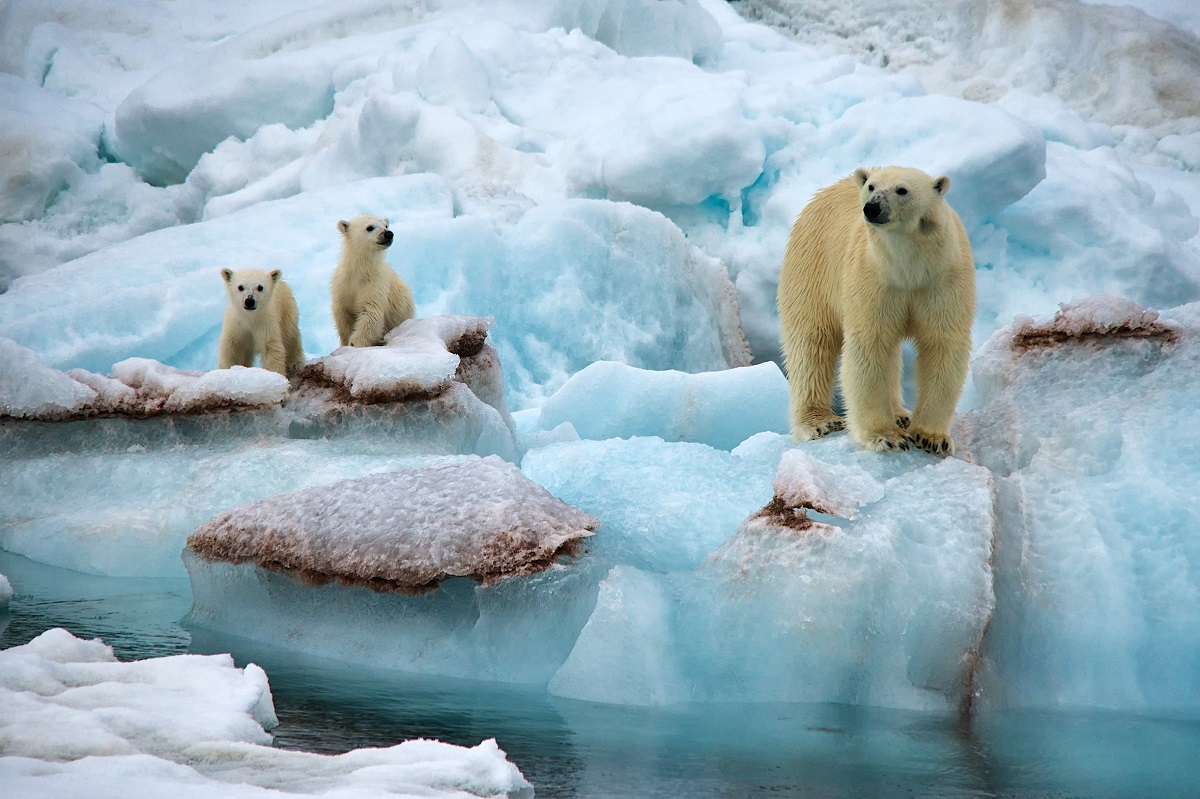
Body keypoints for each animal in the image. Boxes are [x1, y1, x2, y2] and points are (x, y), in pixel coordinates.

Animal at [331, 213, 415, 347]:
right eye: (369, 227)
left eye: (386, 225)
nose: (388, 234)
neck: (359, 271)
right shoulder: (342, 286)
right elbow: (343, 314)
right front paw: (346, 341)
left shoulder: (375, 284)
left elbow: (370, 313)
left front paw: (355, 342)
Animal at [777, 166, 974, 453]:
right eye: (871, 186)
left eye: (902, 190)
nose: (872, 208)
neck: (910, 267)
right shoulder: (872, 278)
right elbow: (870, 346)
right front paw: (885, 436)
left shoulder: (943, 280)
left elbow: (942, 344)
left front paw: (931, 438)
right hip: (812, 266)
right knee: (811, 343)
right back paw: (819, 421)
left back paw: (900, 414)